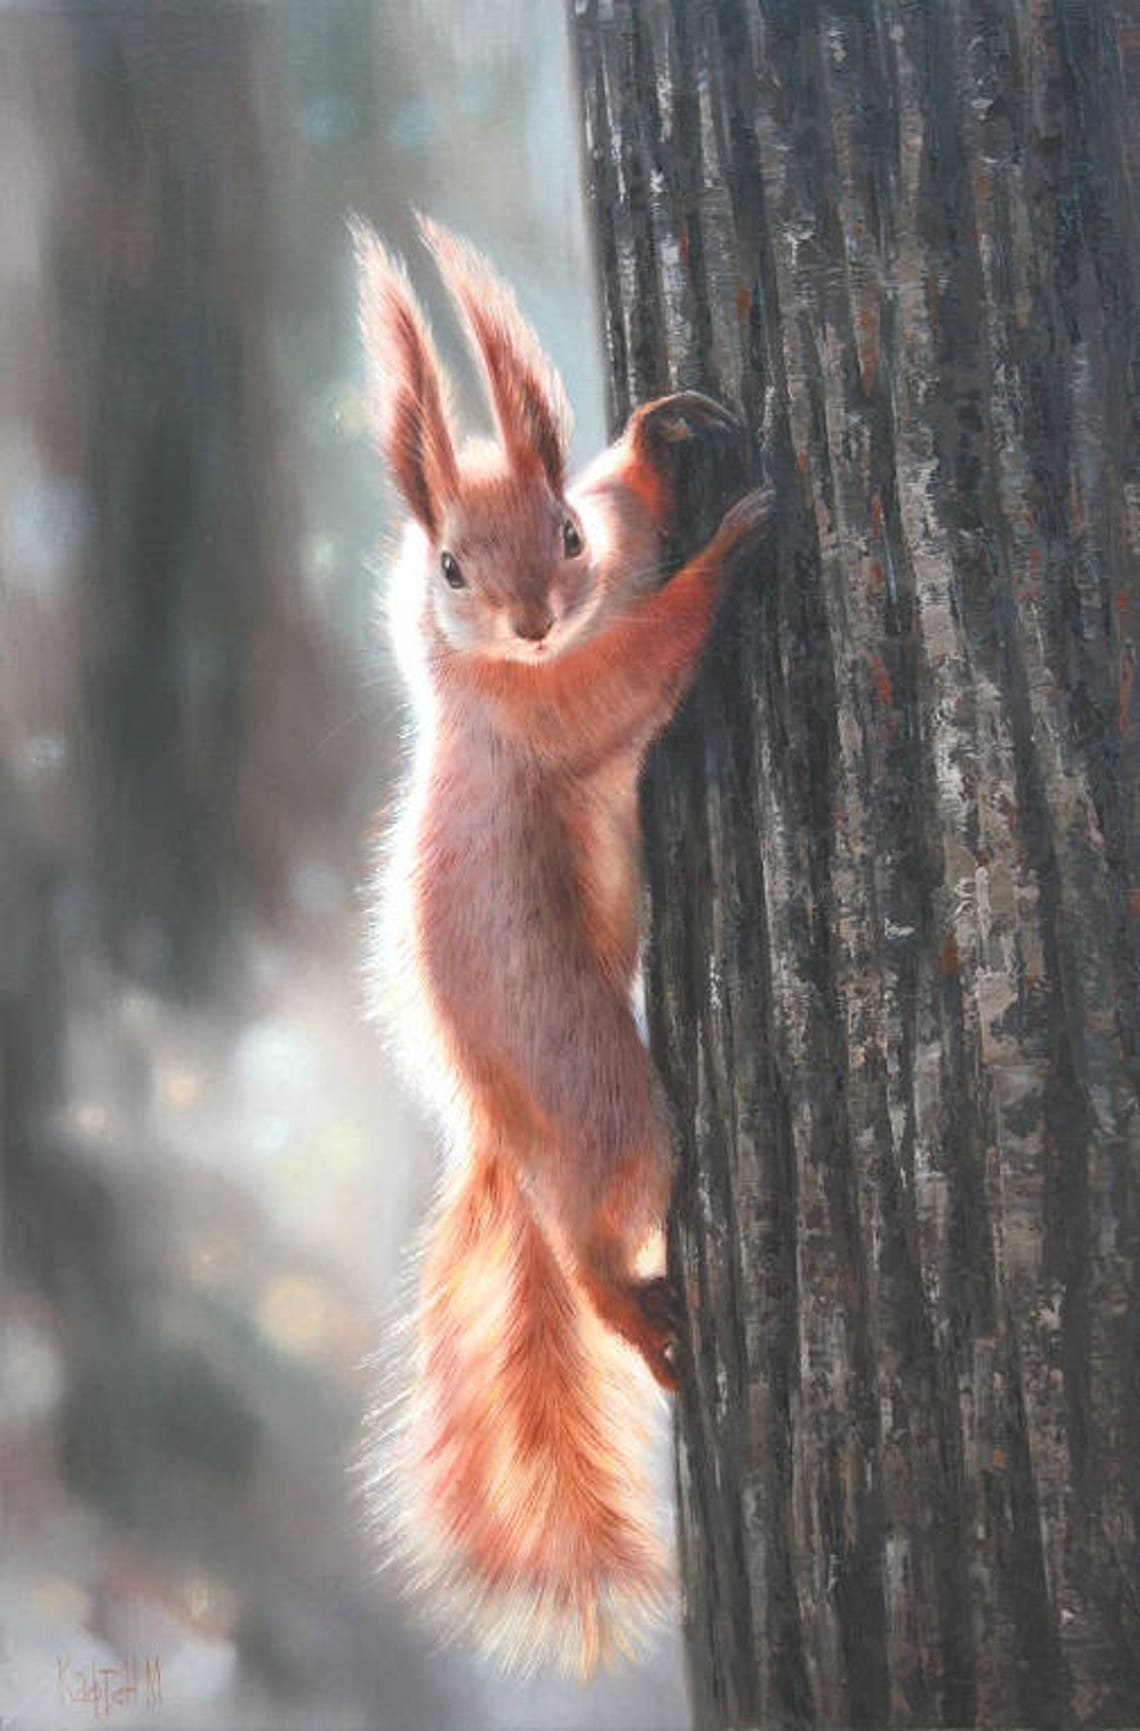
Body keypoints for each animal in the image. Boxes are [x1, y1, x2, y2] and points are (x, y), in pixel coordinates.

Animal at [354, 214, 771, 1677]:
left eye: (569, 530)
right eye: (450, 568)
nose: (533, 617)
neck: (494, 669)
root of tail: (498, 1128)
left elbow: (636, 561)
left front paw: (657, 442)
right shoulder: (542, 711)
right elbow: (629, 675)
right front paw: (729, 557)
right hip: (604, 1091)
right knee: (595, 1247)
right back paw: (640, 1317)